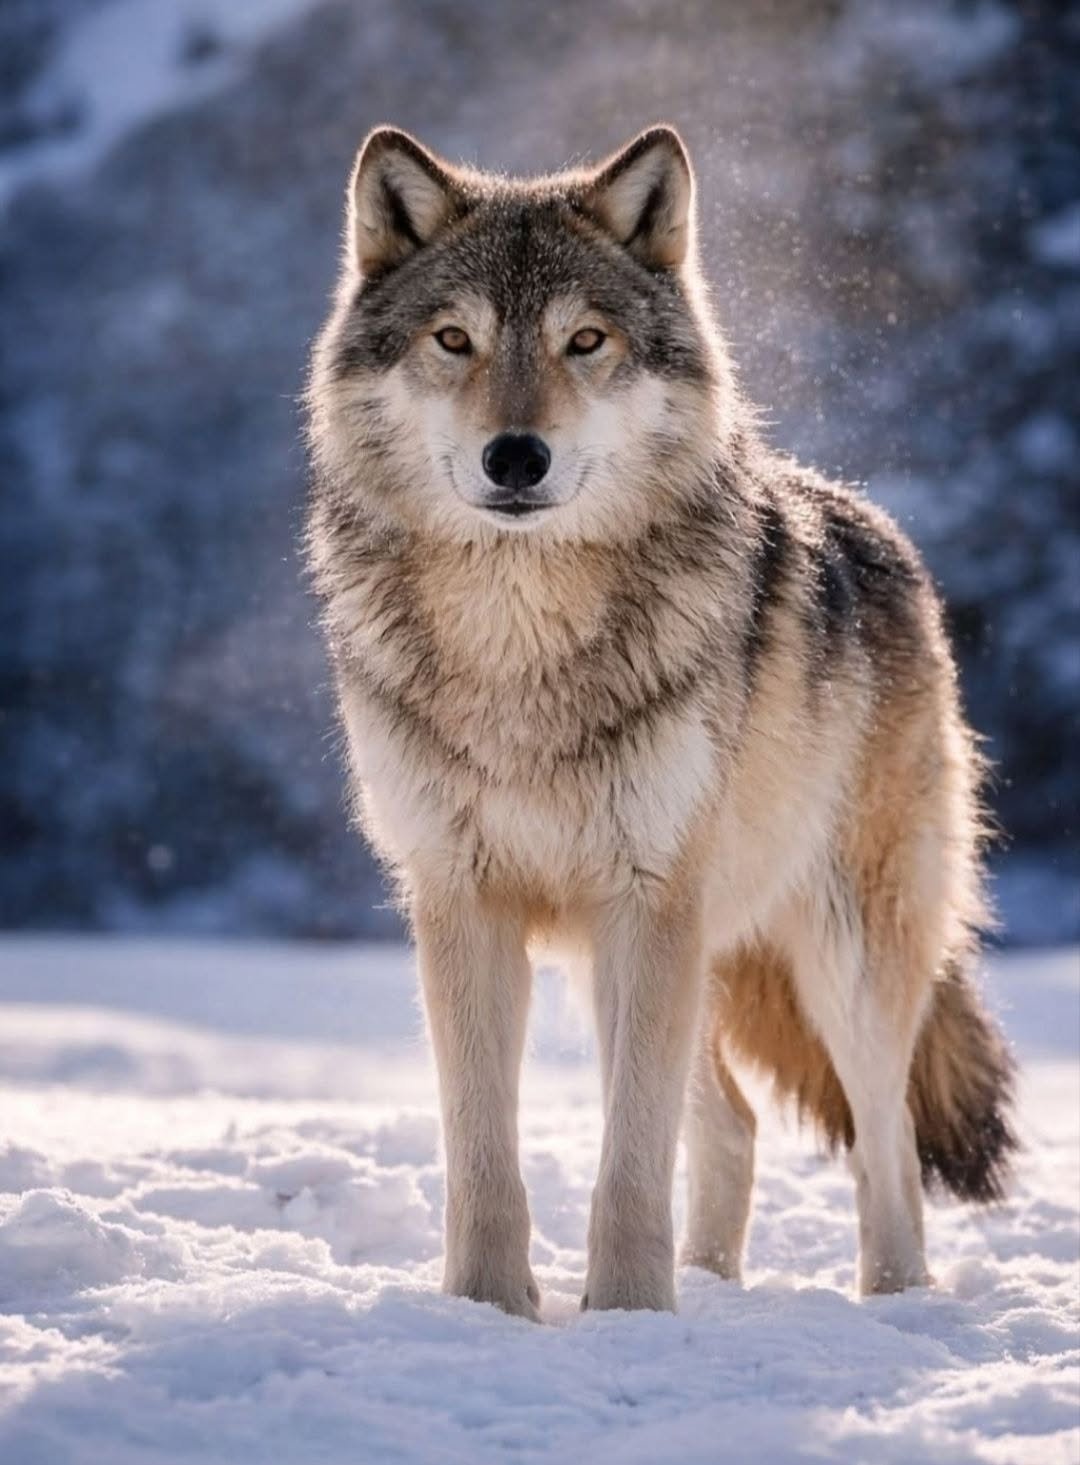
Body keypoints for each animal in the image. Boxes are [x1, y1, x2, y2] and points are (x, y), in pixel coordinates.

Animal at [305, 124, 1016, 1318]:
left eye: (585, 341)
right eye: (455, 340)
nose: (516, 456)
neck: (520, 644)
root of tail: (880, 530)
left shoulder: (651, 898)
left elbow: (631, 1158)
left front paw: (630, 1313)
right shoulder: (461, 900)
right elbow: (482, 1149)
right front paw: (491, 1308)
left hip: (837, 950)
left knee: (885, 1138)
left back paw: (893, 1298)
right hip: (635, 960)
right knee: (733, 1124)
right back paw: (712, 1286)